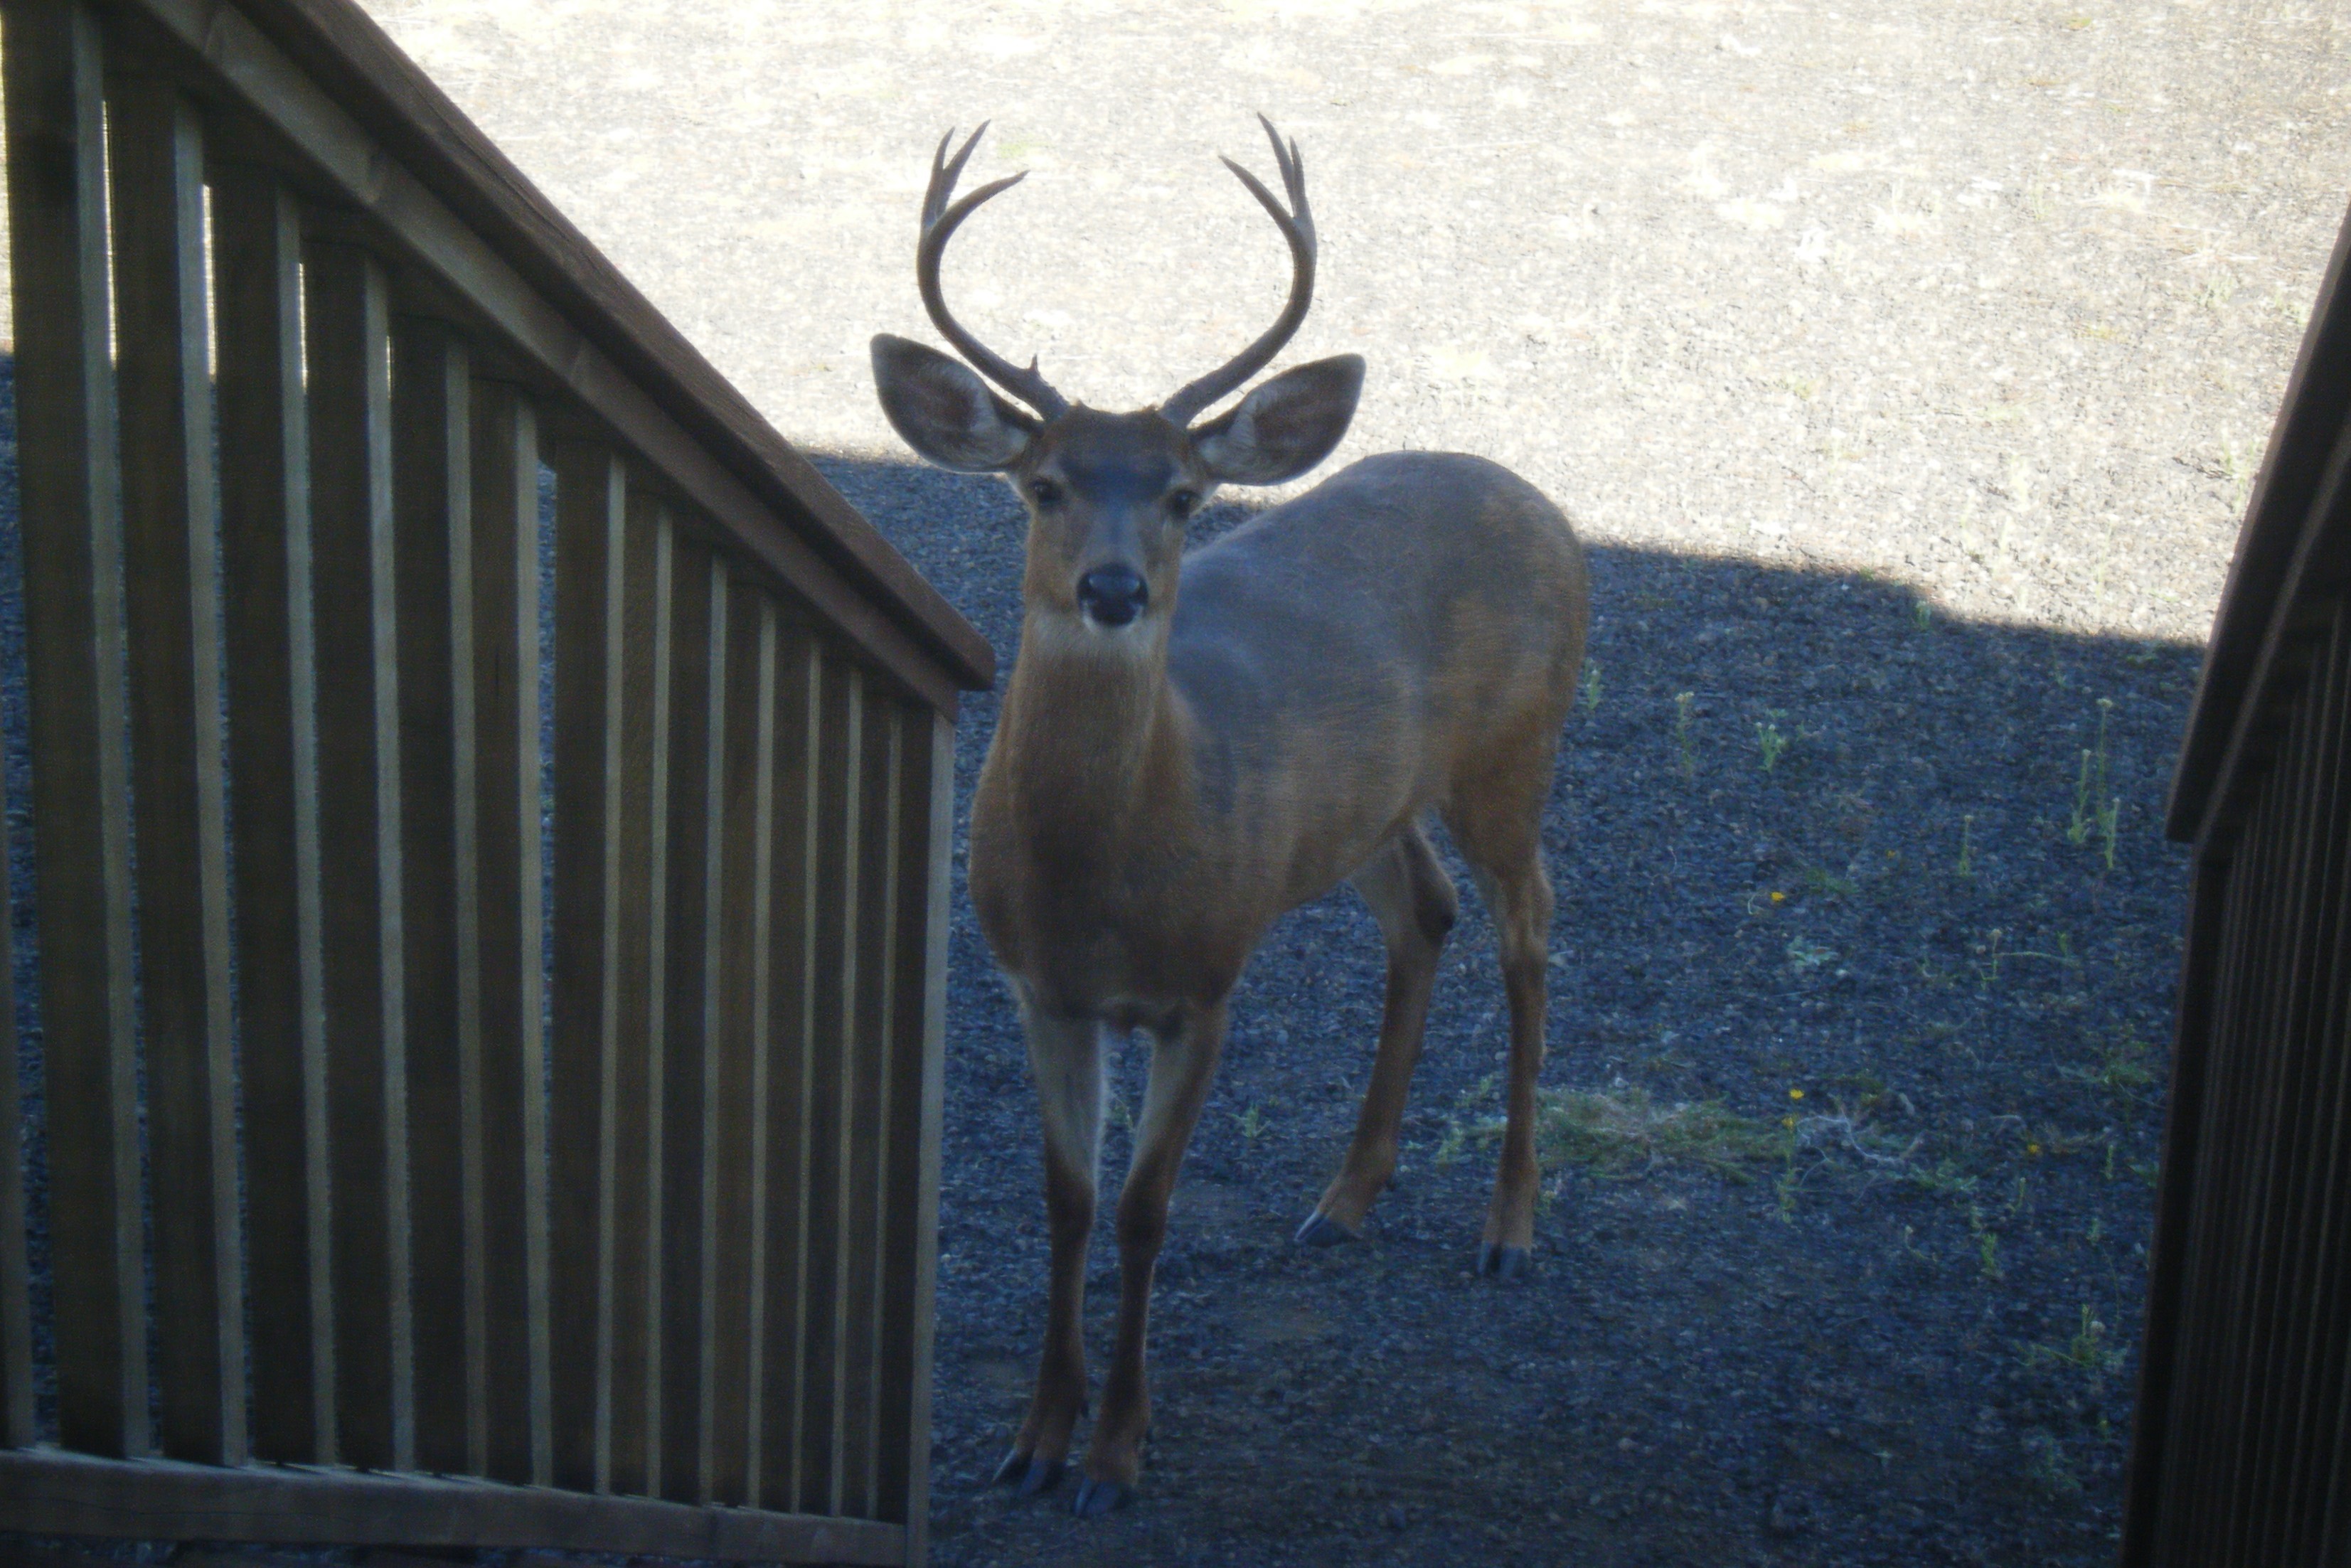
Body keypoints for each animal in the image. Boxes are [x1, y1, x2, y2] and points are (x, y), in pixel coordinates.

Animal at [870, 117, 1590, 1515]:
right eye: (1042, 485)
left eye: (1182, 496)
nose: (1112, 589)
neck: (1105, 879)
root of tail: (1539, 500)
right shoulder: (1037, 988)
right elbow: (1066, 1201)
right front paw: (1033, 1438)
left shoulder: (1205, 985)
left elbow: (1145, 1210)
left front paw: (1114, 1454)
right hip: (1369, 806)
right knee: (1423, 912)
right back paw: (1344, 1197)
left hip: (1513, 752)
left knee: (1530, 926)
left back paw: (1510, 1228)